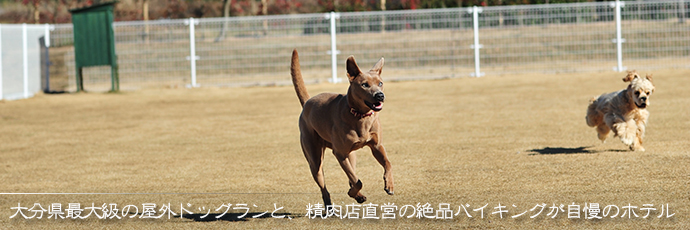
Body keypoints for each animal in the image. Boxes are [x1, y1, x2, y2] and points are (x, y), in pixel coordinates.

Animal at [288, 49, 392, 207]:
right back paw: (330, 205)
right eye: (364, 85)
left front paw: (389, 185)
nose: (380, 95)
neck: (360, 115)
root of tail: (307, 102)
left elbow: (387, 163)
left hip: (351, 155)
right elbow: (358, 181)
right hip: (314, 158)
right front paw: (352, 193)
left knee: (352, 174)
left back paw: (358, 196)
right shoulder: (340, 154)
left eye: (380, 83)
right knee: (324, 185)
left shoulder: (376, 146)